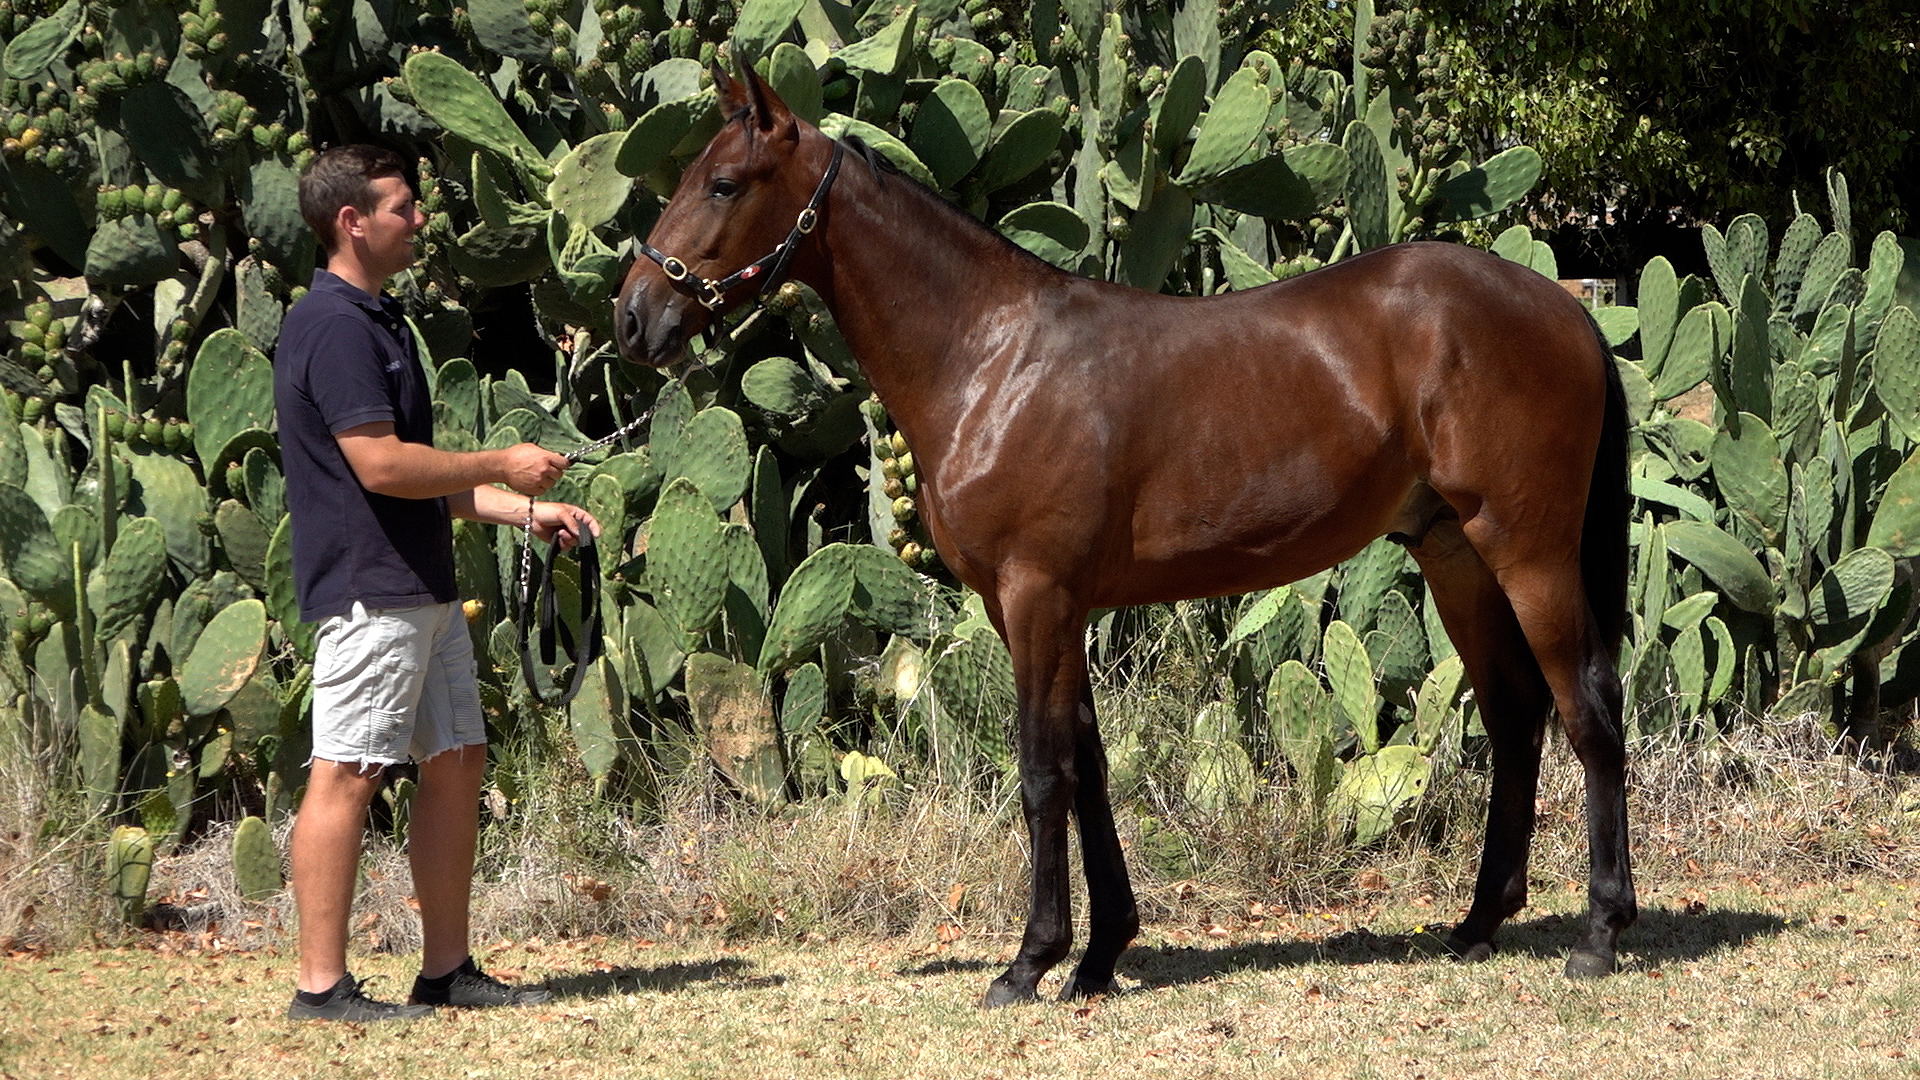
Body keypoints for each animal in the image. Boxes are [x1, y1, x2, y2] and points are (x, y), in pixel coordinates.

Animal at [615, 66, 1635, 1006]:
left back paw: (1599, 931)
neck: (990, 355)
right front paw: (1100, 954)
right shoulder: (1049, 606)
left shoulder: (1036, 596)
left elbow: (1041, 771)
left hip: (1528, 551)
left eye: (723, 183)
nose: (634, 316)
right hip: (1454, 553)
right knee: (1514, 715)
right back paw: (1478, 921)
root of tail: (1567, 307)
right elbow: (1090, 767)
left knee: (1587, 708)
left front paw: (1029, 962)